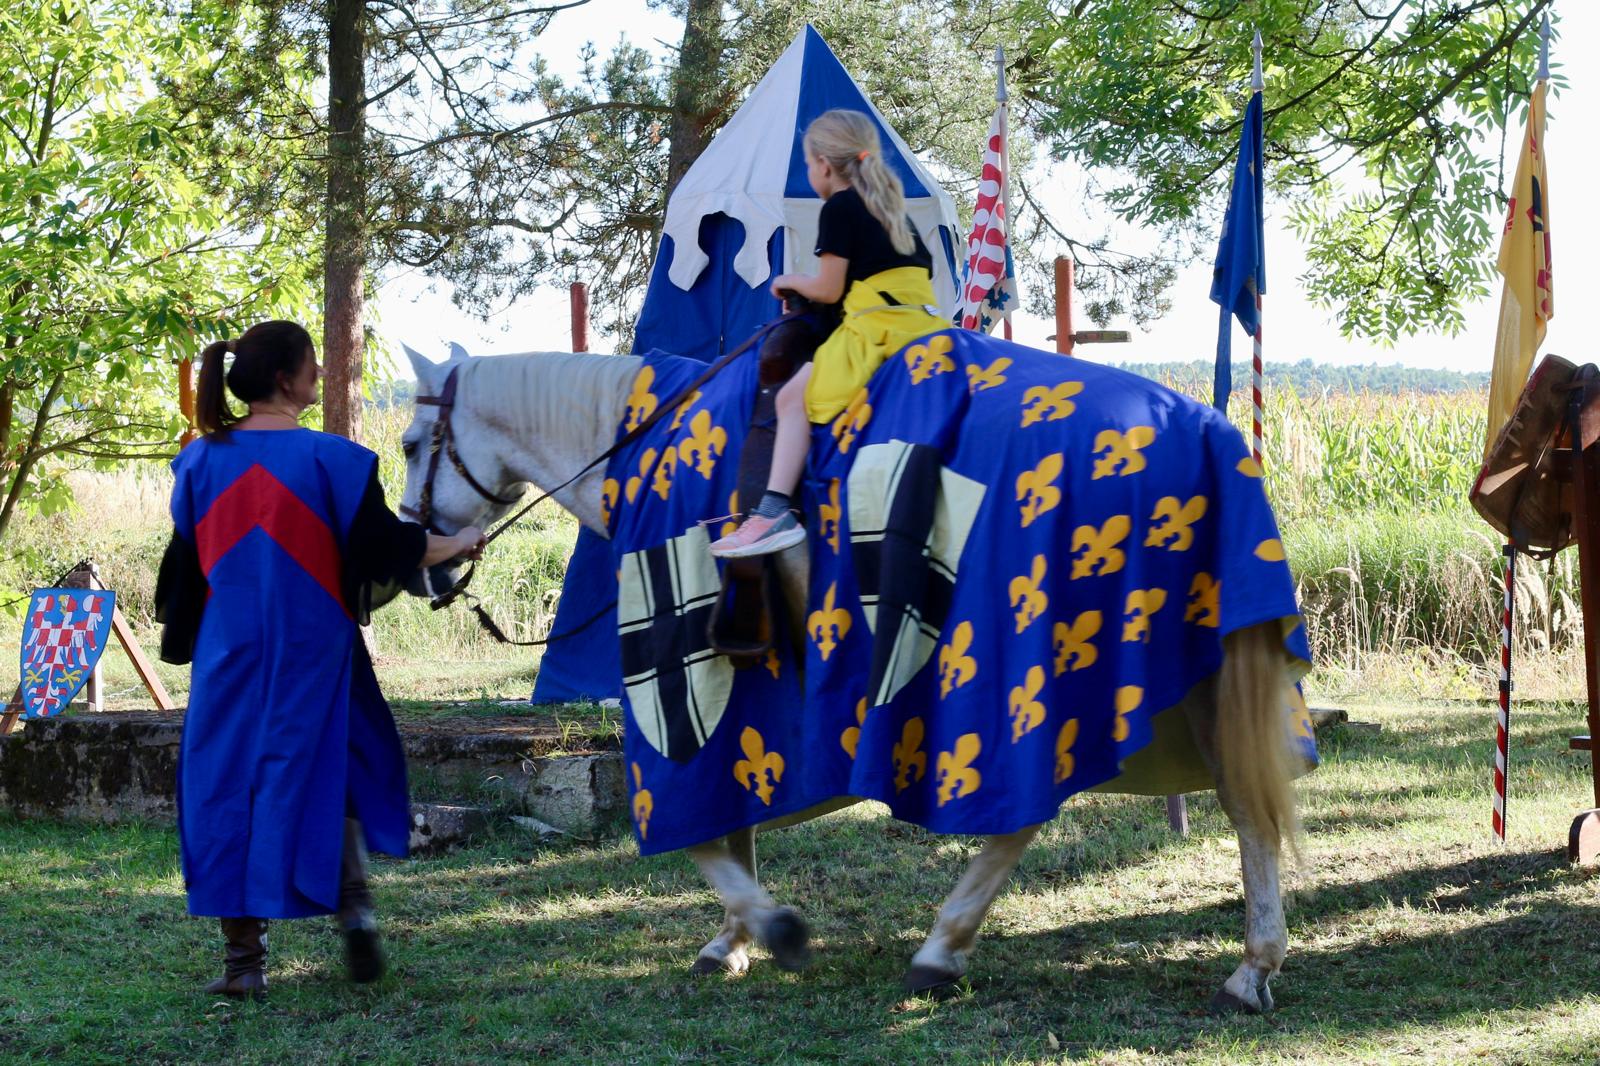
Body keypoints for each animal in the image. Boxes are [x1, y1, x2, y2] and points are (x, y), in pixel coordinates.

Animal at [395, 343, 1301, 1012]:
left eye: (408, 445)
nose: (421, 566)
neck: (647, 447)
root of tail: (1208, 431)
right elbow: (736, 817)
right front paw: (732, 939)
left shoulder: (691, 685)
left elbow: (700, 830)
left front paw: (768, 926)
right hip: (1198, 672)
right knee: (1239, 802)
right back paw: (1249, 967)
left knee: (1028, 811)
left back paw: (943, 947)